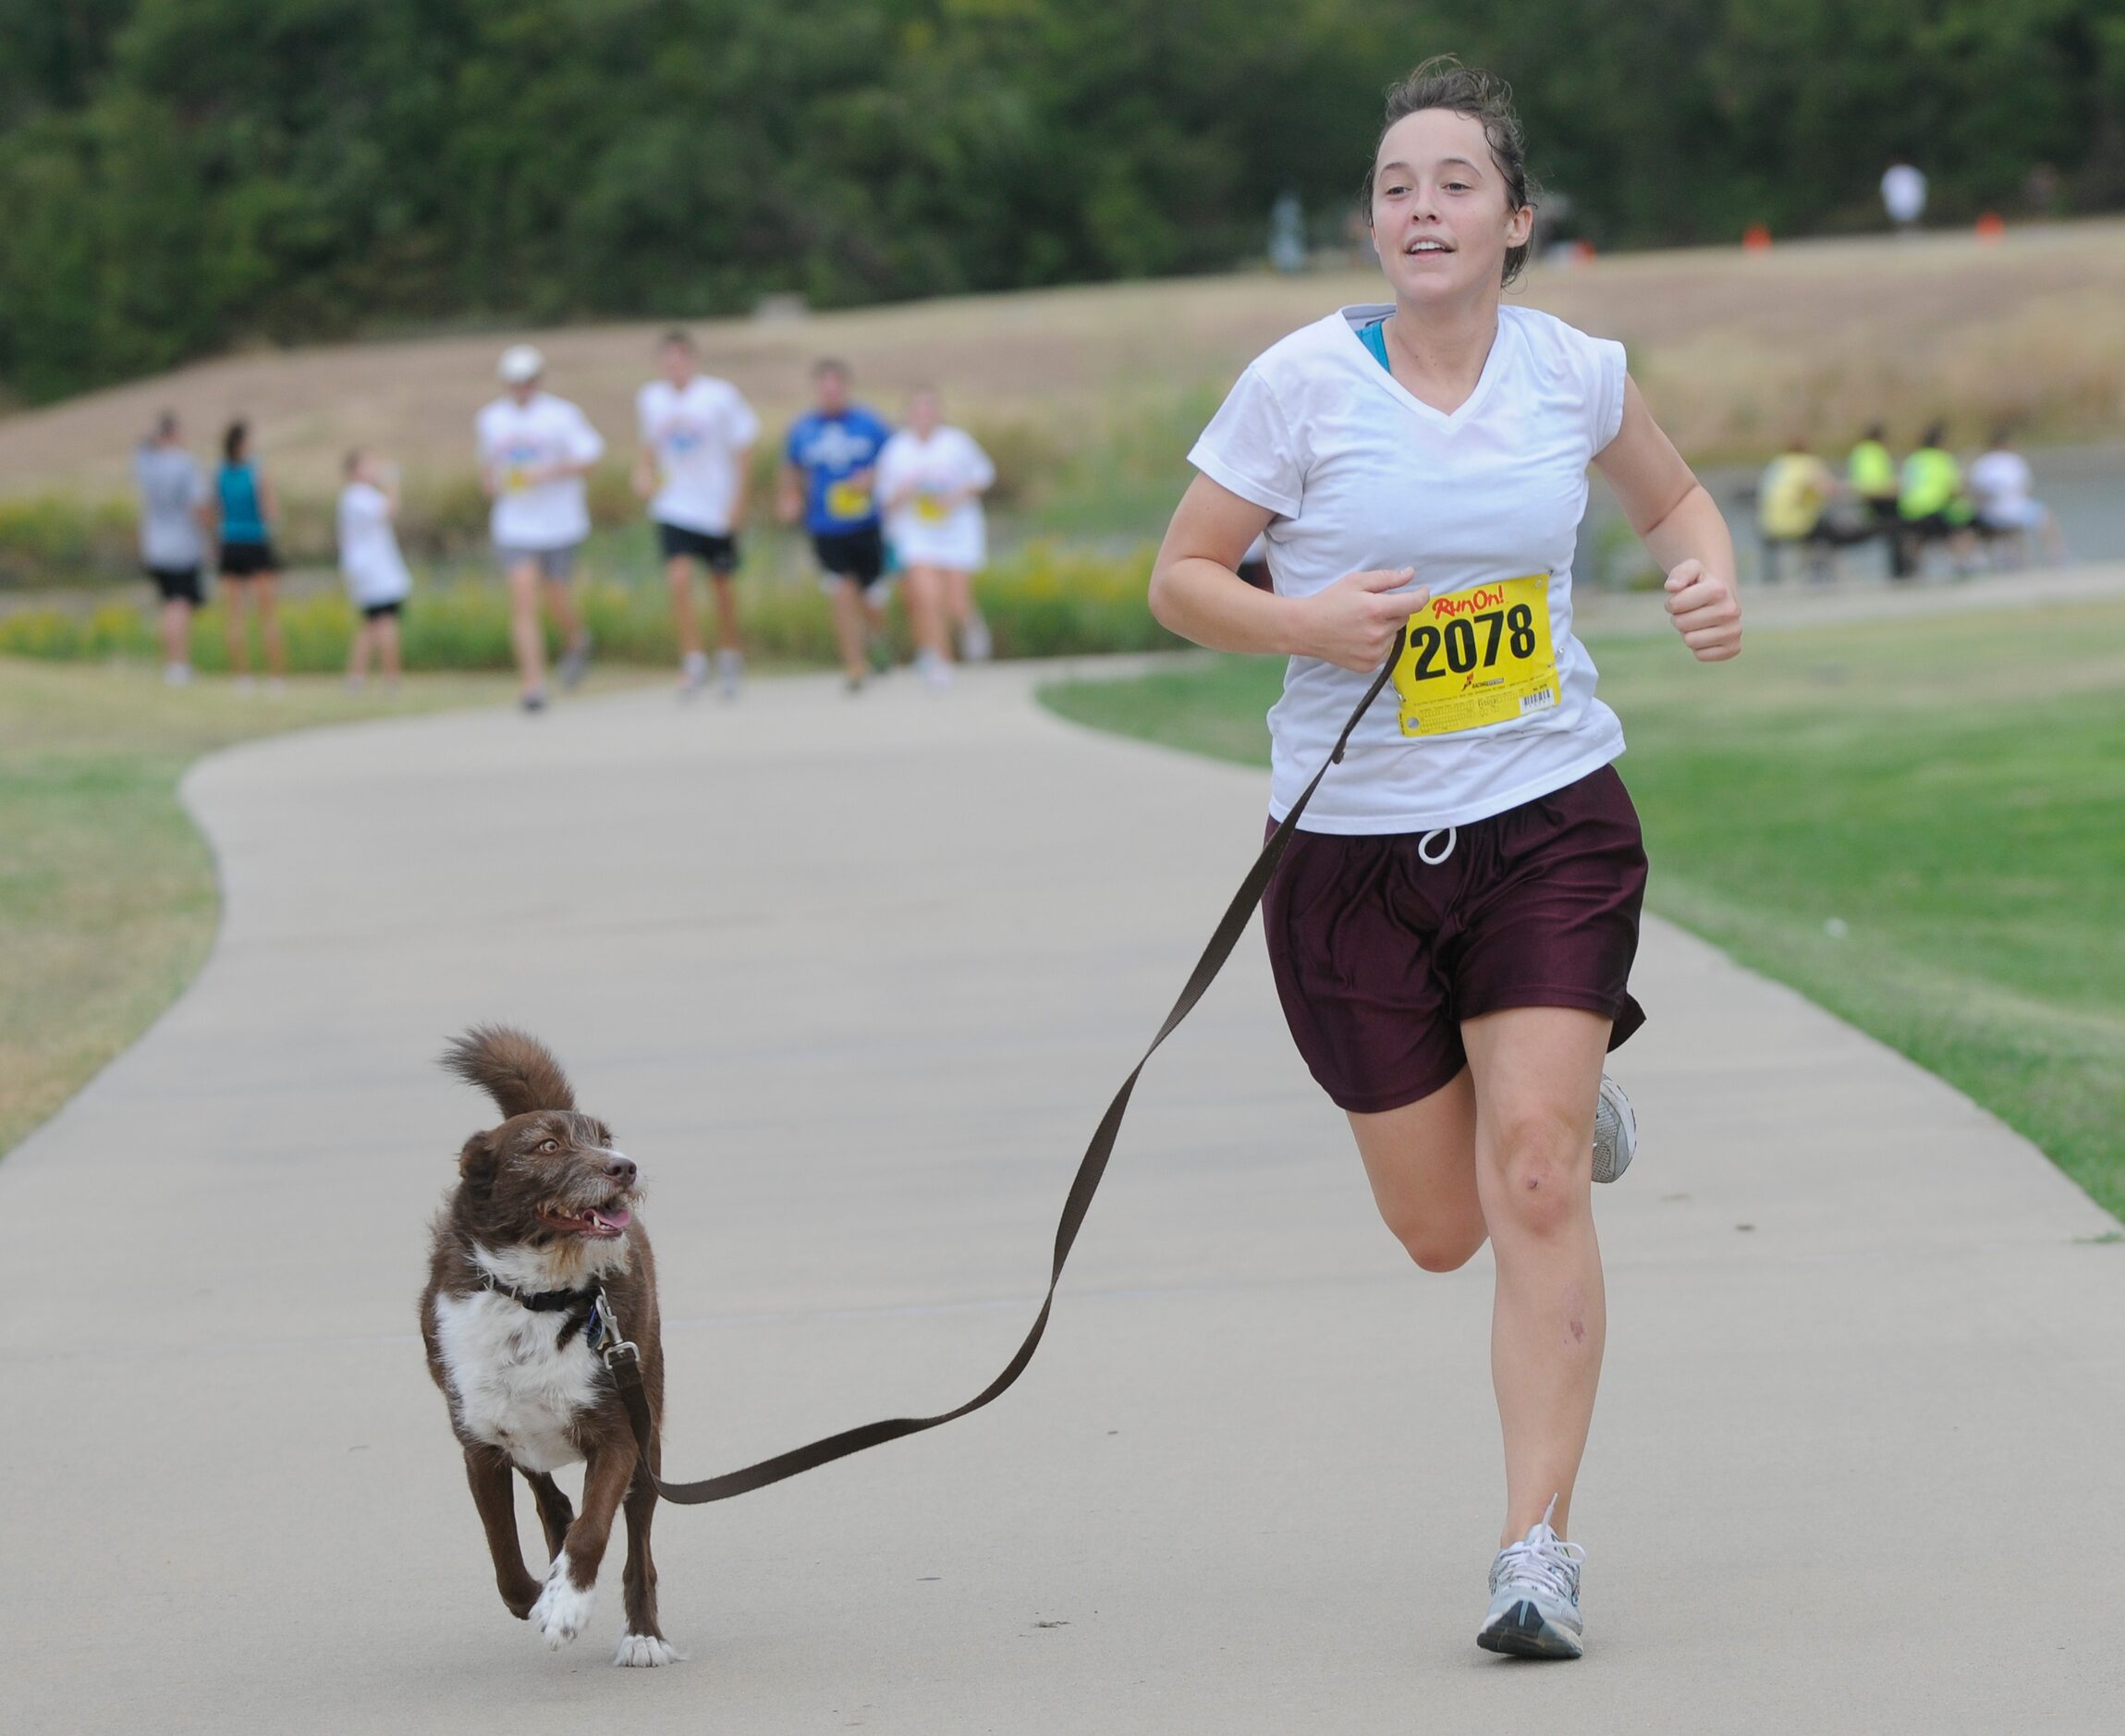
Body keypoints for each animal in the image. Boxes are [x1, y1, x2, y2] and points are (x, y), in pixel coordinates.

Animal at [416, 1028, 671, 1666]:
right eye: (548, 1146)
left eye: (605, 1139)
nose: (624, 1166)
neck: (540, 1295)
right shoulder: (479, 1445)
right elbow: (505, 1559)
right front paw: (540, 1596)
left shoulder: (620, 1433)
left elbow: (594, 1529)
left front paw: (566, 1604)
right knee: (551, 1502)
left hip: (649, 1424)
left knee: (637, 1544)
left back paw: (643, 1635)